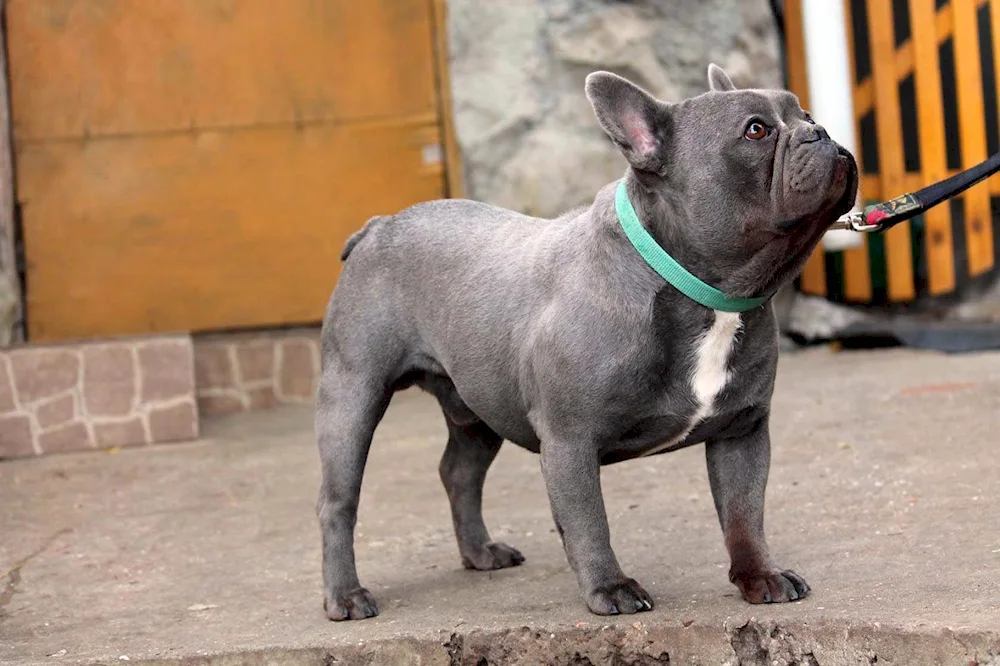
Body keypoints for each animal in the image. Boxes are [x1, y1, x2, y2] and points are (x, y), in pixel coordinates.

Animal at [314, 63, 860, 616]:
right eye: (756, 130)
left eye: (803, 112)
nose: (819, 130)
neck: (707, 294)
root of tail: (379, 227)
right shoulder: (570, 440)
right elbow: (588, 521)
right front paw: (610, 588)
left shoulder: (741, 433)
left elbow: (744, 512)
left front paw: (759, 576)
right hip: (353, 397)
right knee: (338, 502)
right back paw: (347, 595)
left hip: (476, 410)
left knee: (460, 473)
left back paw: (480, 552)